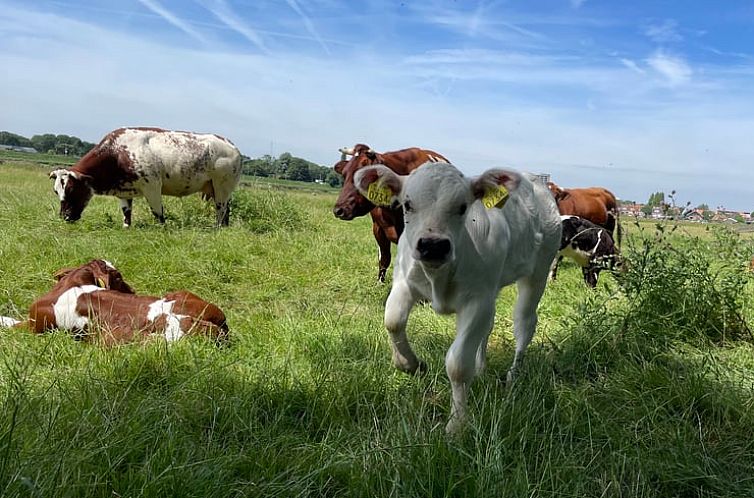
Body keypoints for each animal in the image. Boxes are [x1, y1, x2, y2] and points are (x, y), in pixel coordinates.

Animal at [49, 128, 241, 230]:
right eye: (56, 191)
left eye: (71, 188)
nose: (64, 217)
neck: (117, 154)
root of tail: (231, 145)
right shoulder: (124, 191)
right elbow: (126, 212)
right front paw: (126, 227)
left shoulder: (152, 186)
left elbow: (158, 212)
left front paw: (162, 229)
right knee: (226, 211)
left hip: (222, 188)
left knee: (221, 211)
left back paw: (217, 228)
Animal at [330, 144, 446, 284]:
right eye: (344, 174)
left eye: (363, 177)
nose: (339, 210)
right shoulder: (378, 228)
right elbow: (384, 258)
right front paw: (380, 282)